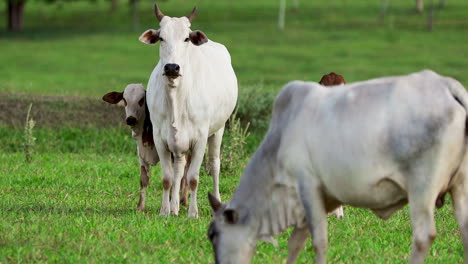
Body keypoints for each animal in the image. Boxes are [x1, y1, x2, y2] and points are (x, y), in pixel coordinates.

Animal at [102, 83, 188, 211]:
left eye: (142, 100)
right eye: (125, 100)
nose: (131, 119)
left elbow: (172, 179)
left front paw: (170, 204)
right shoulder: (141, 154)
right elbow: (143, 179)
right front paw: (140, 206)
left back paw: (184, 201)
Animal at [139, 4, 238, 218]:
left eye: (186, 38)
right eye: (161, 38)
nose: (172, 67)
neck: (176, 97)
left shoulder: (200, 138)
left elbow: (193, 177)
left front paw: (193, 212)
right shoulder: (160, 138)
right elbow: (168, 177)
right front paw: (165, 210)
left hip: (218, 129)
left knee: (214, 165)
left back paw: (215, 201)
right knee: (179, 167)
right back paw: (175, 205)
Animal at [207, 70, 468, 264]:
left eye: (213, 234)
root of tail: (448, 87)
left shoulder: (308, 187)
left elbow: (319, 242)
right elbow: (296, 243)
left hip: (422, 188)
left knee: (423, 237)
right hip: (459, 187)